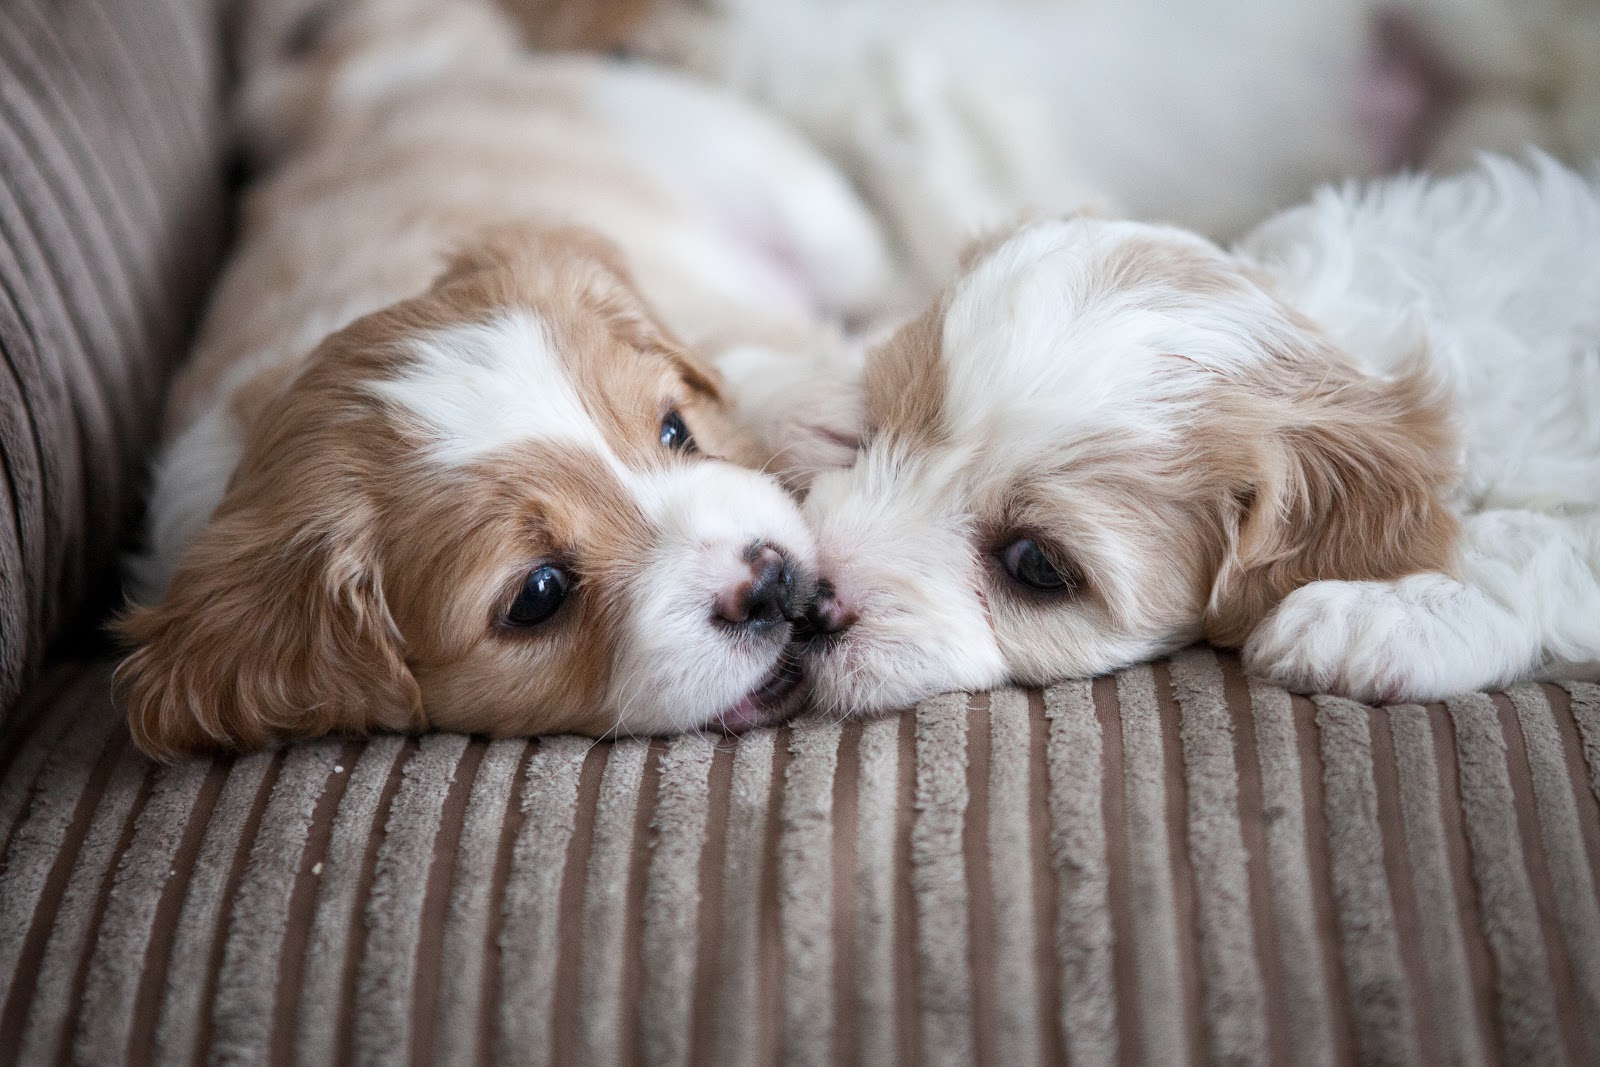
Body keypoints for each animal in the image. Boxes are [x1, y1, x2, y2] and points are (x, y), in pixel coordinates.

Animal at [116, 0, 889, 758]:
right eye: (538, 594)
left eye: (677, 431)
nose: (771, 582)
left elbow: (740, 350)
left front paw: (826, 411)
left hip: (791, 202)